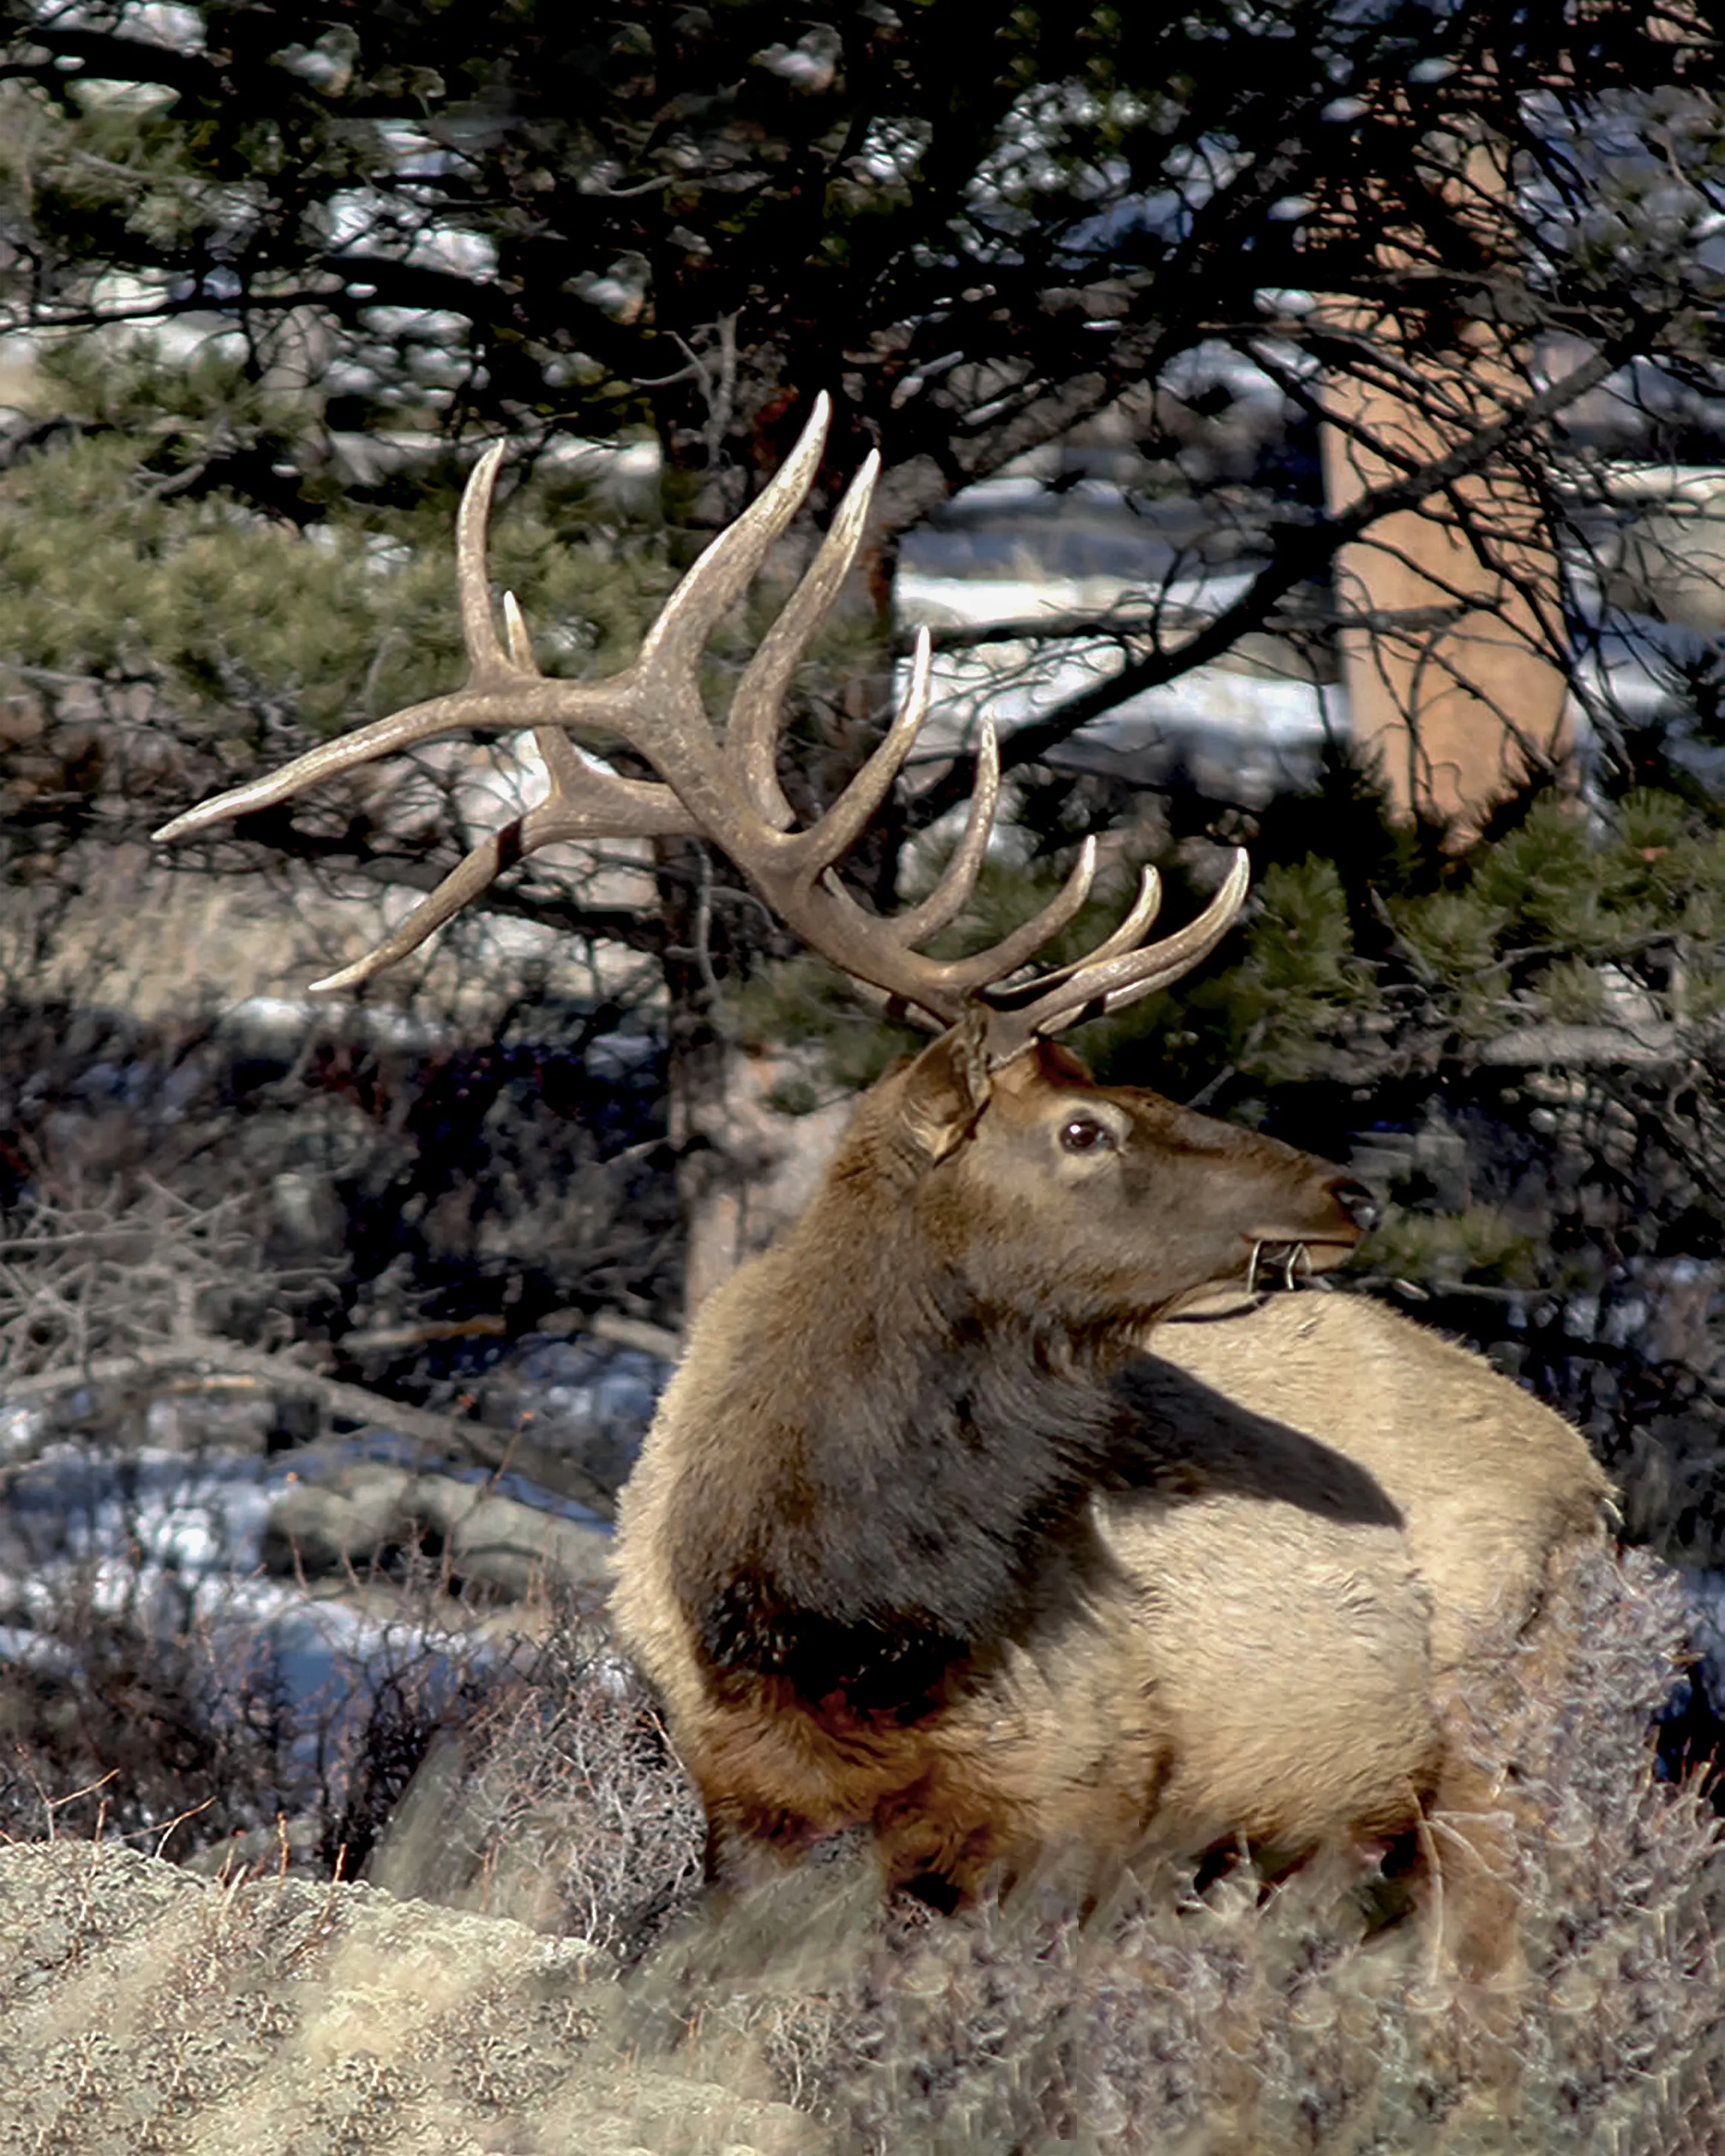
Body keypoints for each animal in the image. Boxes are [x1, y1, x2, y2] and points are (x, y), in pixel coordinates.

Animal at [156, 396, 1610, 1957]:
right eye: (1082, 1129)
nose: (1347, 1194)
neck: (825, 1613)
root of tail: (1590, 1474)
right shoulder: (749, 1815)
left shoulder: (1091, 1816)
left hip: (1496, 1755)